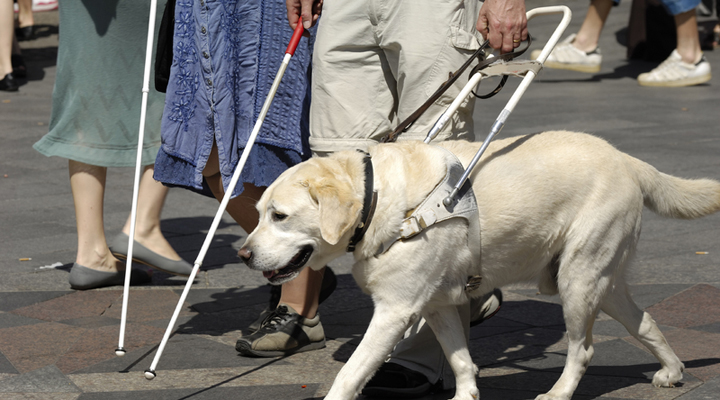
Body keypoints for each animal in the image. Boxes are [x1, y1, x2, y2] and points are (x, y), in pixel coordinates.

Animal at [239, 131, 720, 400]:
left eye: (279, 216)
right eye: (258, 213)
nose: (243, 255)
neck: (380, 200)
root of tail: (628, 159)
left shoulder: (395, 311)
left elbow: (349, 374)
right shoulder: (435, 305)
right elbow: (461, 361)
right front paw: (467, 395)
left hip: (578, 279)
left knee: (582, 349)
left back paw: (558, 393)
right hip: (604, 280)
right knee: (645, 322)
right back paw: (672, 371)